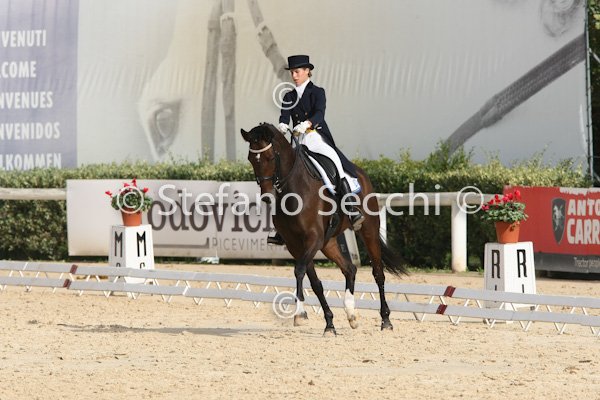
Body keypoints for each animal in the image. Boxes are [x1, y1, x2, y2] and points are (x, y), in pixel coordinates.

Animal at [241, 123, 408, 335]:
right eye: (250, 159)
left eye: (270, 157)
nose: (267, 196)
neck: (294, 189)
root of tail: (361, 173)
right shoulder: (296, 244)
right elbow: (314, 282)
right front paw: (329, 323)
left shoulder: (313, 238)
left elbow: (299, 270)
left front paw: (300, 314)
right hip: (329, 242)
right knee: (350, 269)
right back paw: (351, 314)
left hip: (368, 230)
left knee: (378, 273)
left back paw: (386, 320)